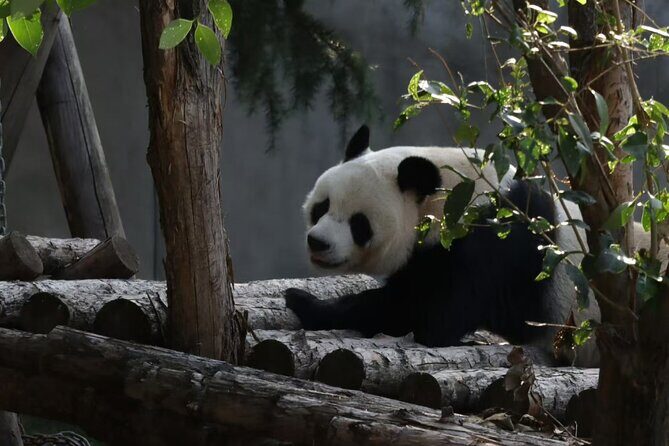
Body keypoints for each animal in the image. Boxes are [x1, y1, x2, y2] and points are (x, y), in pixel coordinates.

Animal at [284, 125, 610, 365]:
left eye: (359, 224)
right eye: (322, 207)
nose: (318, 242)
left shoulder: (492, 242)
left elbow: (426, 315)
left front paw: (303, 301)